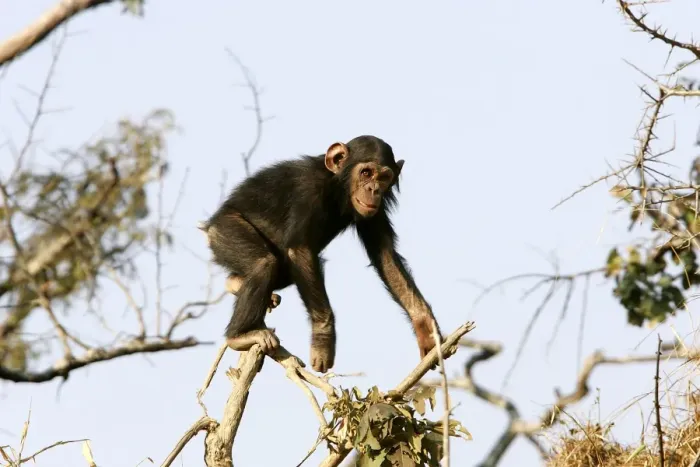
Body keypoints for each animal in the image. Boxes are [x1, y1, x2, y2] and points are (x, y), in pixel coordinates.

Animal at [199, 135, 441, 373]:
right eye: (366, 173)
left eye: (384, 177)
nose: (374, 189)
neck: (337, 185)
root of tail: (210, 226)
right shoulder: (308, 190)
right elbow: (300, 250)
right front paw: (323, 339)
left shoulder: (378, 209)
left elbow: (386, 256)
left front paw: (426, 328)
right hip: (225, 231)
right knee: (263, 263)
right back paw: (240, 336)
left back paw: (235, 283)